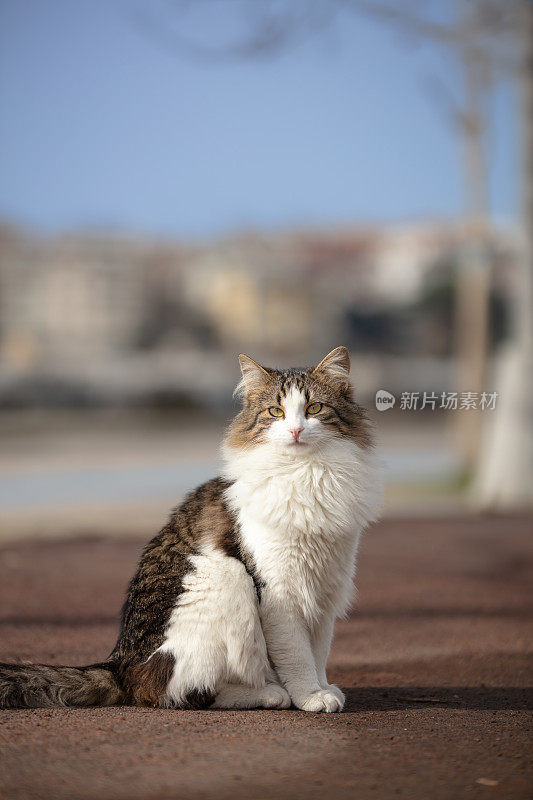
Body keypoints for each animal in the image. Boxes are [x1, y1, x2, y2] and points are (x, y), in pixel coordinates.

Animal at [1, 344, 382, 712]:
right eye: (276, 412)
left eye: (314, 408)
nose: (296, 430)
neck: (307, 473)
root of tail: (119, 664)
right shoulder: (280, 592)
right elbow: (298, 656)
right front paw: (310, 697)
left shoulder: (325, 589)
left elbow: (318, 653)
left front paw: (323, 688)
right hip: (227, 577)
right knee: (181, 692)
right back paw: (269, 694)